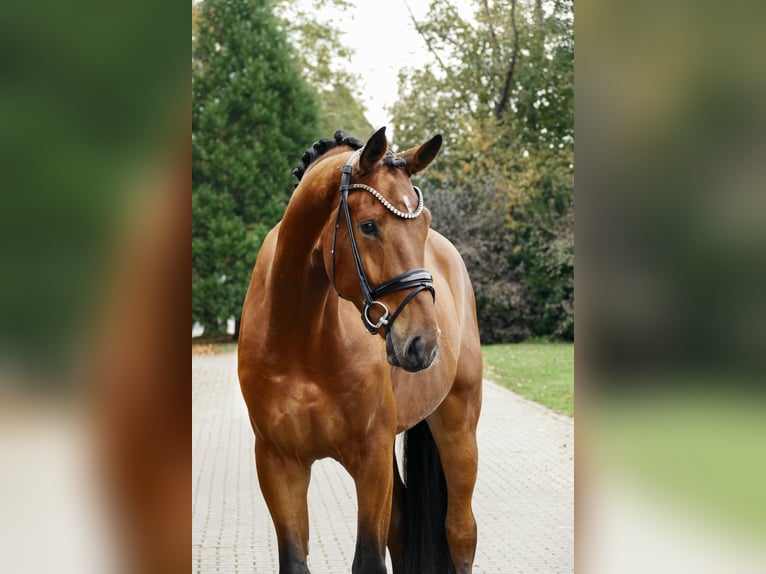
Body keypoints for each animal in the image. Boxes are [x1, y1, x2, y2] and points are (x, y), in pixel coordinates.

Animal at [237, 127, 484, 574]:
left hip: (458, 423)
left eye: (424, 224)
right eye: (369, 226)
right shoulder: (278, 464)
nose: (423, 342)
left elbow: (369, 558)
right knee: (403, 527)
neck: (301, 339)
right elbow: (295, 560)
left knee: (460, 532)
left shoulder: (370, 459)